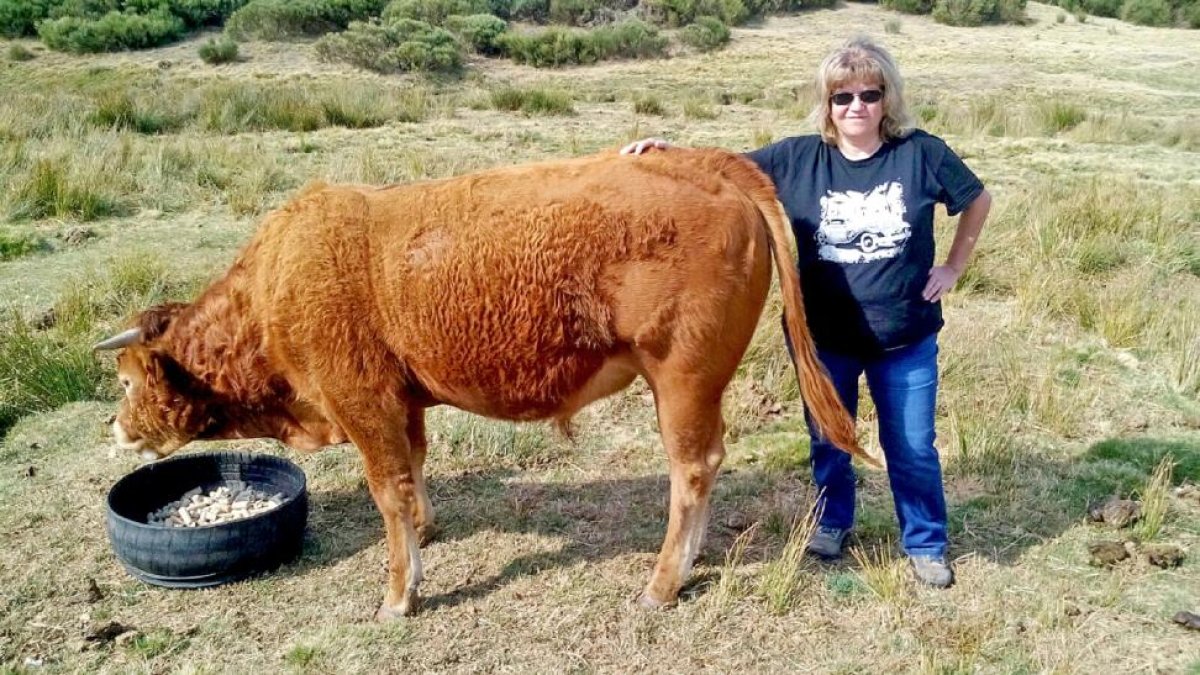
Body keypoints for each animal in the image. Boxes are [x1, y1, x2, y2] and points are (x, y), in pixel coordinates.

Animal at [94, 148, 871, 619]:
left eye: (126, 380)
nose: (115, 427)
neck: (275, 286)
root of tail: (711, 165)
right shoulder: (402, 404)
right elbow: (413, 470)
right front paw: (429, 530)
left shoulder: (363, 405)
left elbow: (387, 490)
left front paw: (399, 596)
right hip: (688, 387)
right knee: (704, 466)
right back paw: (687, 563)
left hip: (679, 380)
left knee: (692, 468)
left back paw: (660, 582)